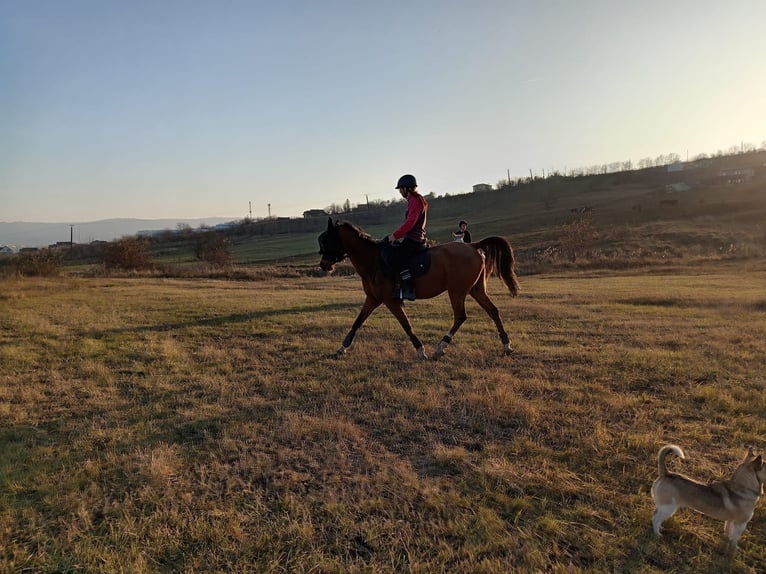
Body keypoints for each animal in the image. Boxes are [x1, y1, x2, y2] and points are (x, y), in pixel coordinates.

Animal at [318, 218, 520, 360]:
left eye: (327, 240)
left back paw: (440, 347)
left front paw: (421, 351)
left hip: (457, 291)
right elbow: (357, 322)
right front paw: (340, 349)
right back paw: (506, 345)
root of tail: (472, 246)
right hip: (475, 290)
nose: (323, 265)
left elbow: (405, 324)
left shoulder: (390, 300)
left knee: (461, 316)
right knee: (493, 311)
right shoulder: (373, 299)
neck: (374, 261)